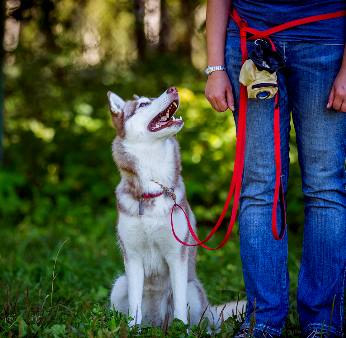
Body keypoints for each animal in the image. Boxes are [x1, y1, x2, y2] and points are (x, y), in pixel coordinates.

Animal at [108, 87, 246, 328]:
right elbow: (134, 308)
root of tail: (155, 323)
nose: (173, 89)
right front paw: (132, 330)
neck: (154, 188)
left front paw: (181, 329)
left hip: (193, 290)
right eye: (143, 104)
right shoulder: (132, 258)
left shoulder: (176, 256)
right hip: (119, 285)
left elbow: (180, 309)